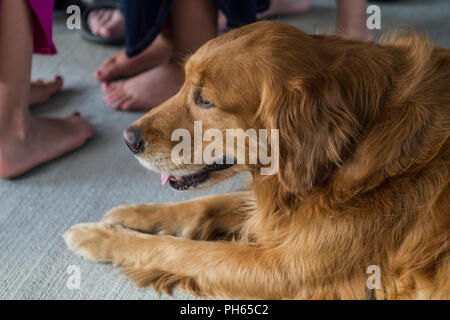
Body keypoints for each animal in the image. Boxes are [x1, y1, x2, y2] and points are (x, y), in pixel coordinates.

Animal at [64, 21, 450, 298]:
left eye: (205, 100)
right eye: (183, 83)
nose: (128, 139)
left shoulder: (285, 272)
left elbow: (178, 250)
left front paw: (100, 238)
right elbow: (207, 204)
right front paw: (135, 215)